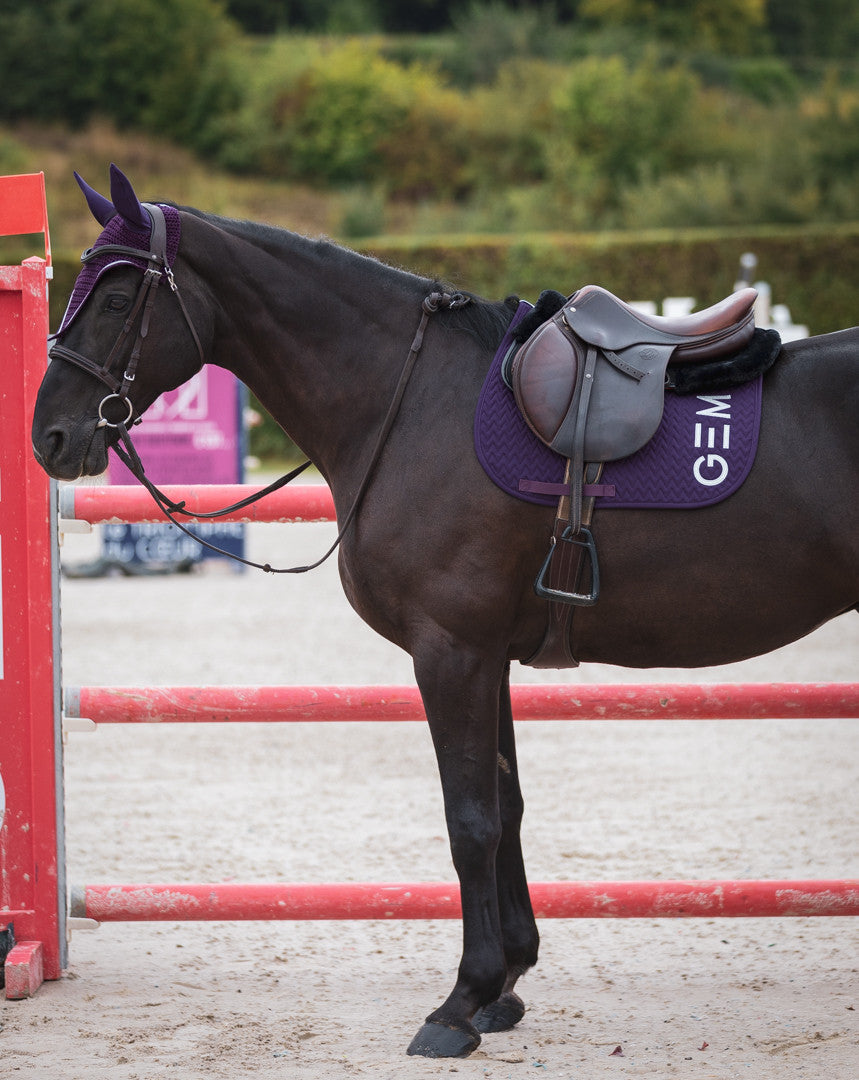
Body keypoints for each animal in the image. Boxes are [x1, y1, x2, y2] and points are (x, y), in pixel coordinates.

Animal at [30, 166, 855, 1054]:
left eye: (117, 298)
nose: (47, 437)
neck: (412, 400)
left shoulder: (450, 652)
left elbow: (470, 822)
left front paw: (460, 1000)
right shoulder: (487, 655)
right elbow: (506, 807)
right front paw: (507, 984)